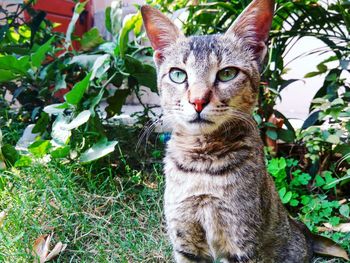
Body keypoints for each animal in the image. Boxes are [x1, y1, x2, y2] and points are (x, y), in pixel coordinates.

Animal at [139, 1, 348, 262]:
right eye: (178, 74)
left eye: (227, 73)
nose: (197, 100)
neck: (202, 165)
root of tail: (304, 232)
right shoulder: (185, 240)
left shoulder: (240, 242)